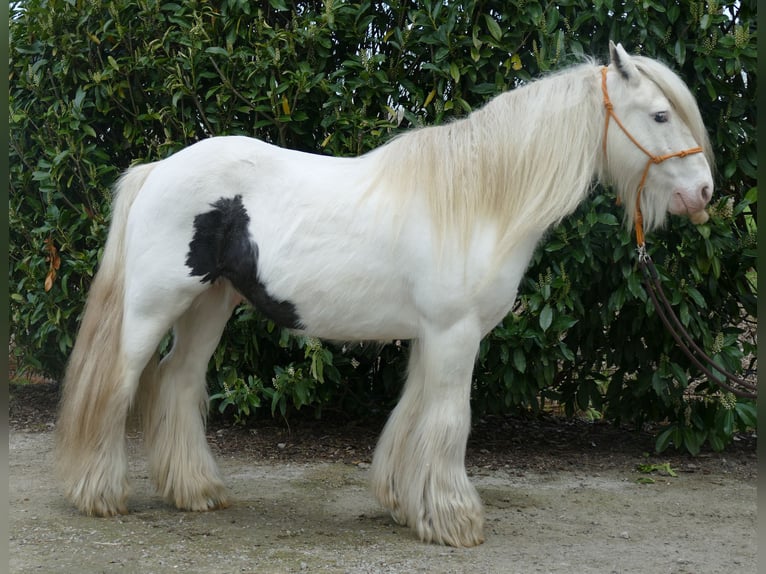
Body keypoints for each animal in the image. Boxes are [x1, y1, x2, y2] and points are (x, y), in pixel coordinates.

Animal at [57, 45, 716, 548]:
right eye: (660, 115)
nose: (705, 193)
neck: (479, 202)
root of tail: (158, 169)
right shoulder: (454, 334)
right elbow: (449, 421)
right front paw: (455, 521)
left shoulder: (435, 336)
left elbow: (412, 416)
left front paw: (408, 505)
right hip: (155, 306)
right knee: (117, 383)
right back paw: (99, 494)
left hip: (210, 306)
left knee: (177, 382)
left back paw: (196, 492)